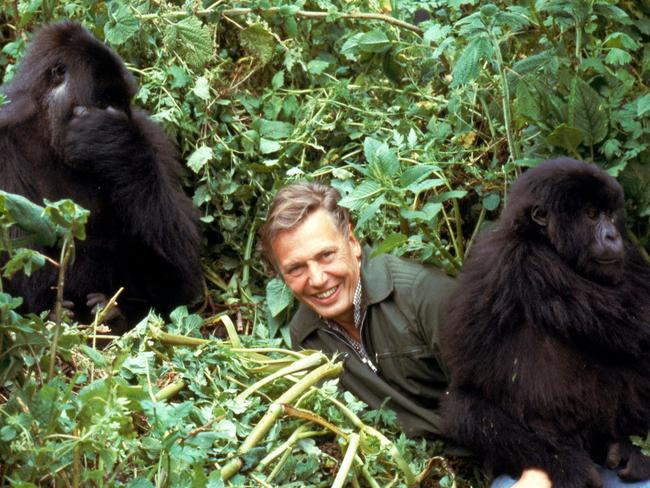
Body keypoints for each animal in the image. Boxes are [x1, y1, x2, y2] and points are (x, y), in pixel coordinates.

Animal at [0, 21, 201, 330]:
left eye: (121, 102)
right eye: (104, 99)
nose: (119, 116)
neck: (46, 130)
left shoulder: (151, 137)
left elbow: (183, 268)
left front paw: (110, 141)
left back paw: (115, 314)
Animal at [438, 159, 648, 488]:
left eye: (610, 214)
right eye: (591, 214)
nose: (612, 236)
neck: (541, 240)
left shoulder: (629, 254)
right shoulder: (529, 261)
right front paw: (568, 466)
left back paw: (622, 448)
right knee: (462, 407)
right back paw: (570, 462)